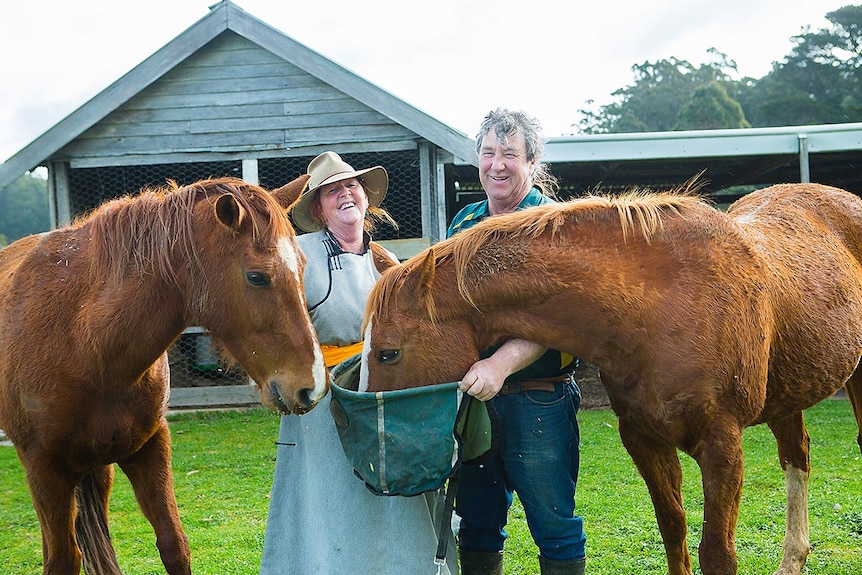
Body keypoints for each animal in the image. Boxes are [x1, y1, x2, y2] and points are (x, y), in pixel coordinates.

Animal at [0, 176, 330, 575]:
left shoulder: (150, 448)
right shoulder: (43, 469)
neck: (86, 344)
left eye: (303, 266)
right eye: (256, 277)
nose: (312, 386)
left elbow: (174, 545)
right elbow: (63, 559)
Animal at [362, 183, 862, 575]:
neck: (658, 304)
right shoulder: (642, 437)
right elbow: (673, 528)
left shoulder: (723, 445)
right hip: (788, 392)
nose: (371, 468)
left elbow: (717, 554)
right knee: (797, 456)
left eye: (388, 352)